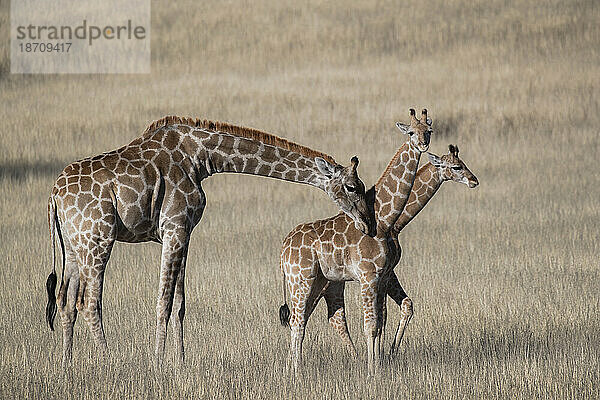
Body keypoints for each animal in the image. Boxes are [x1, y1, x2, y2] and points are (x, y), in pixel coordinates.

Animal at [45, 115, 376, 366]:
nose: (369, 224)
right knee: (88, 301)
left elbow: (179, 302)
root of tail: (54, 196)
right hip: (98, 238)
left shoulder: (184, 232)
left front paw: (179, 362)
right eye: (352, 186)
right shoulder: (174, 227)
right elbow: (163, 301)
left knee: (64, 300)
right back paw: (110, 361)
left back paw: (66, 363)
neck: (202, 158)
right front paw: (158, 363)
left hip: (73, 245)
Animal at [278, 108, 434, 372]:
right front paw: (372, 371)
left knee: (302, 318)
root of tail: (283, 249)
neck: (384, 219)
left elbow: (380, 323)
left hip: (317, 281)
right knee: (297, 321)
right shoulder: (367, 276)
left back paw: (290, 367)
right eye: (411, 132)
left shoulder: (382, 276)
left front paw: (379, 364)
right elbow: (370, 325)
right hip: (302, 279)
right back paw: (296, 371)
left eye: (429, 130)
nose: (423, 144)